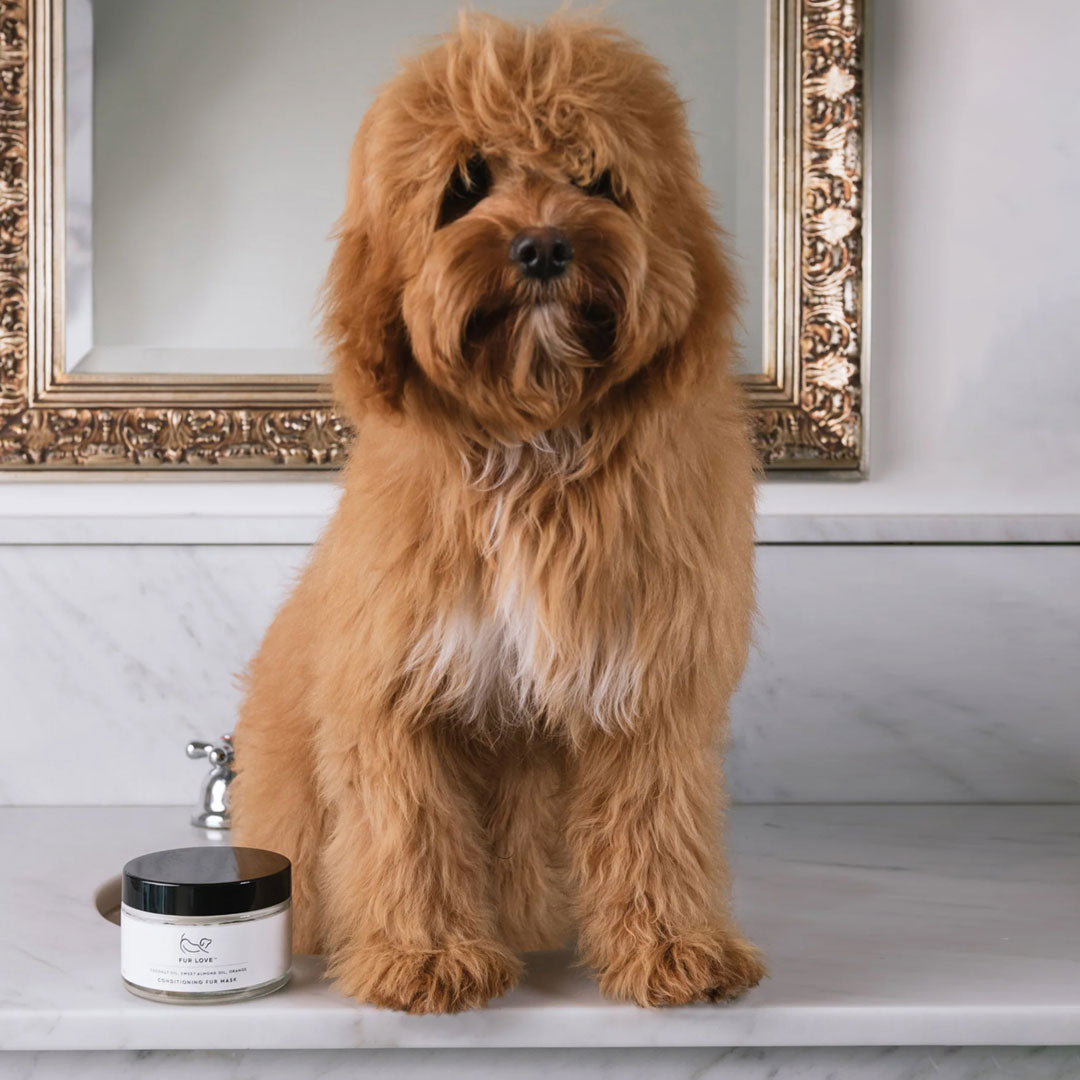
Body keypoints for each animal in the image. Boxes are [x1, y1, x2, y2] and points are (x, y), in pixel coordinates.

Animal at [232, 10, 764, 1010]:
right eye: (465, 186)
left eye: (596, 178)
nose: (544, 247)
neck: (537, 446)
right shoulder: (398, 682)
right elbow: (409, 828)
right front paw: (426, 957)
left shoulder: (647, 680)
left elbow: (655, 816)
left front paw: (673, 949)